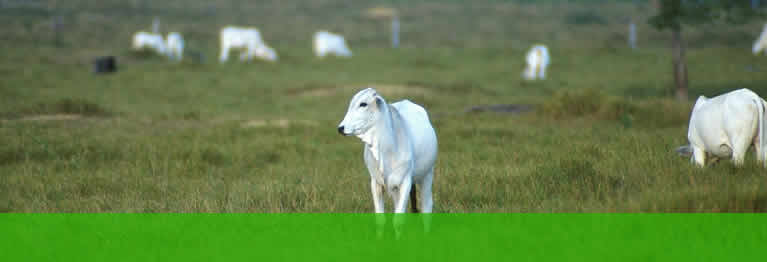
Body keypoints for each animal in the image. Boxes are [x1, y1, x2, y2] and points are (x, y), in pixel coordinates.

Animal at [338, 88, 438, 237]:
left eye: (363, 104)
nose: (341, 128)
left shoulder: (405, 181)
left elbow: (398, 220)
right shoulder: (376, 183)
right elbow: (381, 219)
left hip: (427, 174)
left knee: (427, 206)